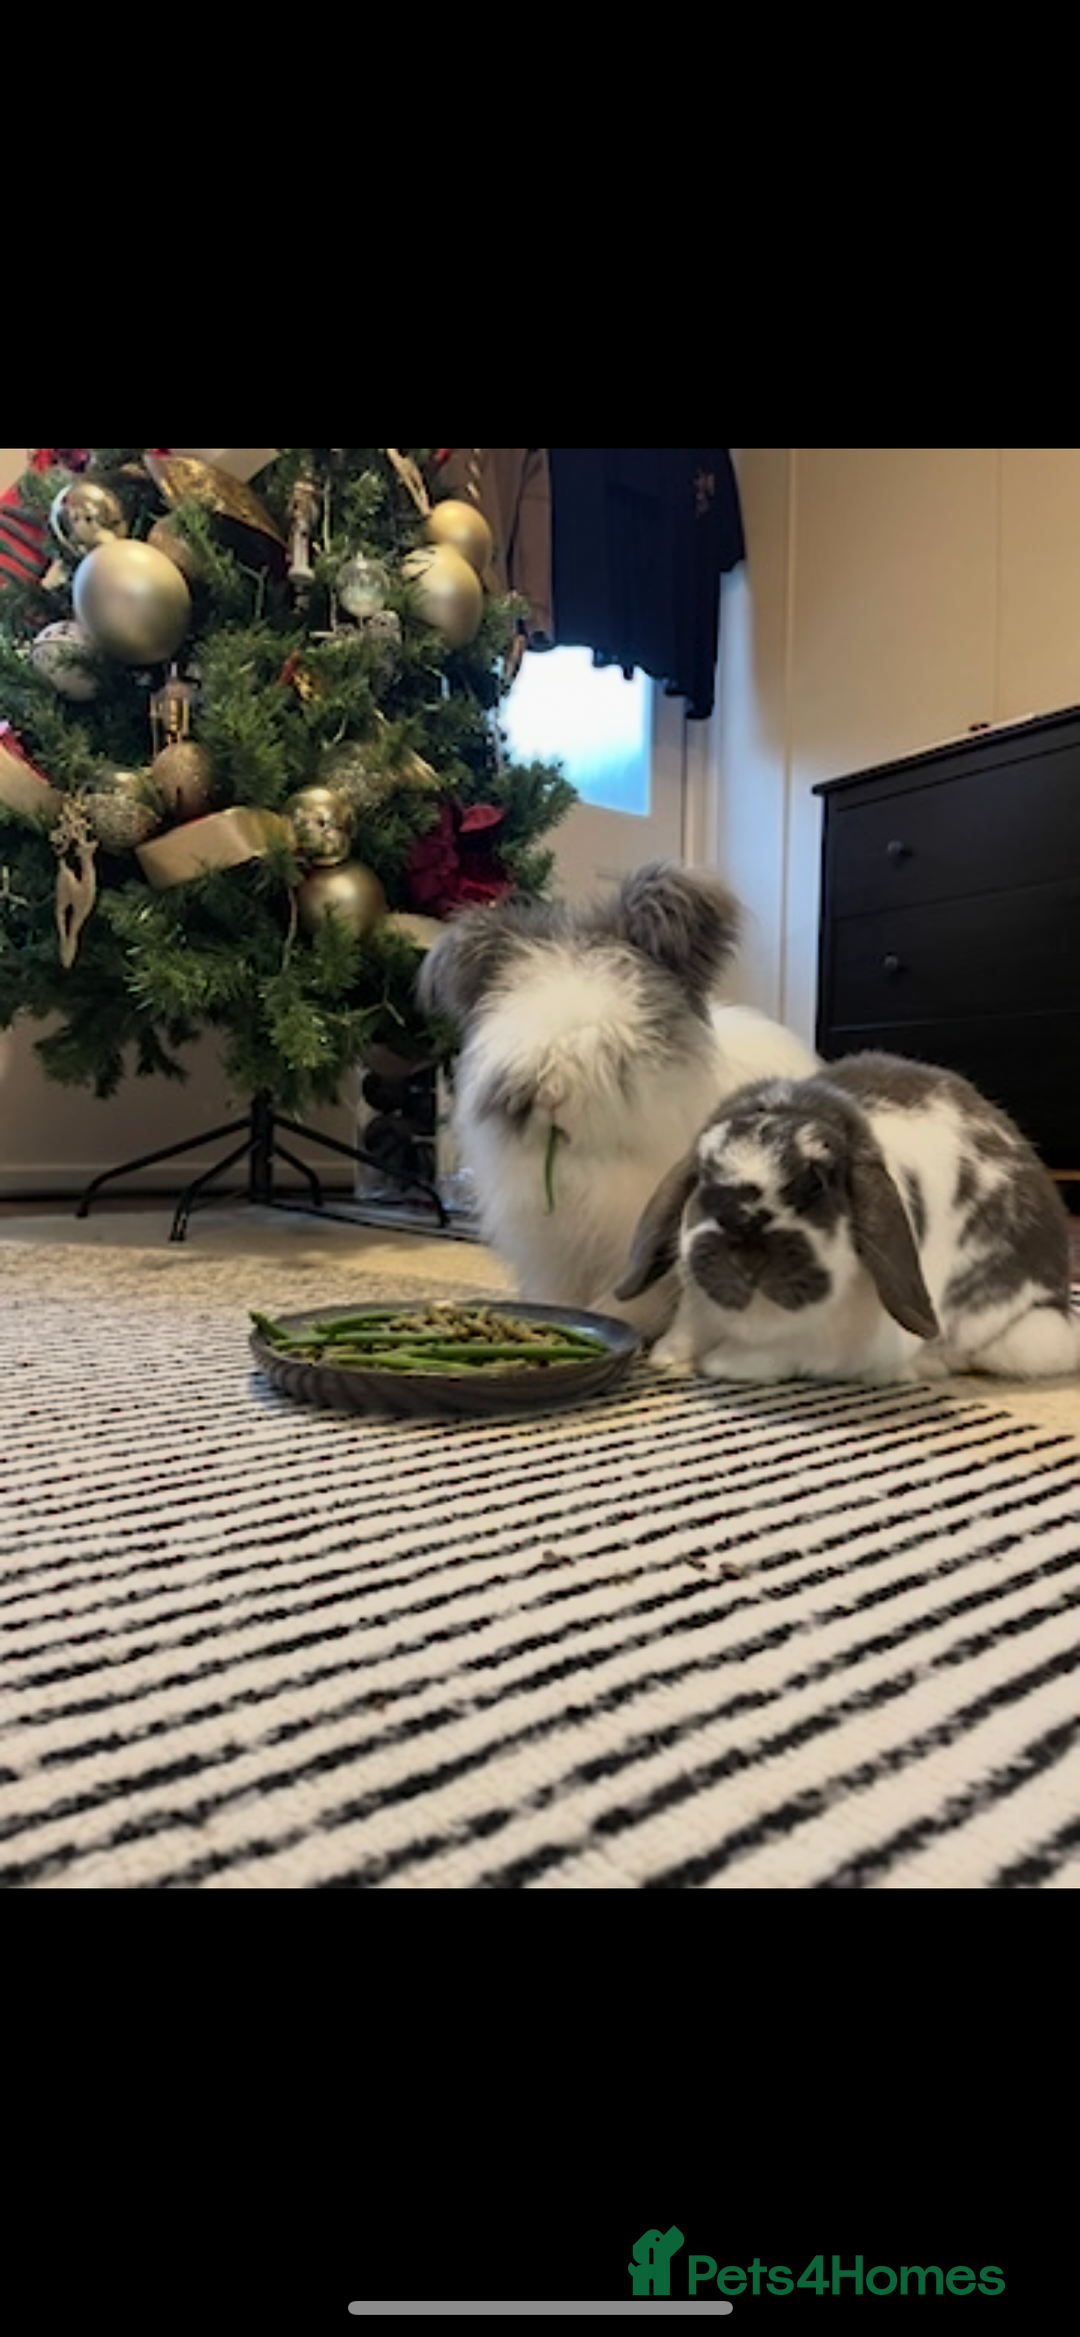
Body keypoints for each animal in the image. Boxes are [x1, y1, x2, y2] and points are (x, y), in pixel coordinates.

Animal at [416, 860, 819, 1339]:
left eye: (615, 1050)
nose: (551, 1097)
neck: (587, 1163)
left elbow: (628, 1299)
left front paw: (615, 1320)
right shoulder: (553, 1250)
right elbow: (559, 1296)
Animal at [614, 1049, 1080, 1385]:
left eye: (816, 1182)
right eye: (704, 1176)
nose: (745, 1249)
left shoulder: (827, 1347)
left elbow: (773, 1356)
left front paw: (720, 1363)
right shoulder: (698, 1305)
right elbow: (687, 1329)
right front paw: (668, 1359)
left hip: (1023, 1338)